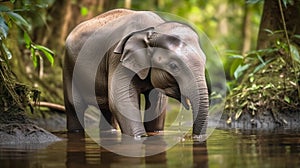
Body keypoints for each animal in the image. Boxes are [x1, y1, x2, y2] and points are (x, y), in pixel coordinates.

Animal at [63, 8, 209, 138]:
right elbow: (121, 102)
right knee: (75, 106)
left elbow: (157, 105)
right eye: (173, 66)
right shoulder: (117, 60)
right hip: (69, 69)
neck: (154, 29)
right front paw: (140, 137)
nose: (192, 137)